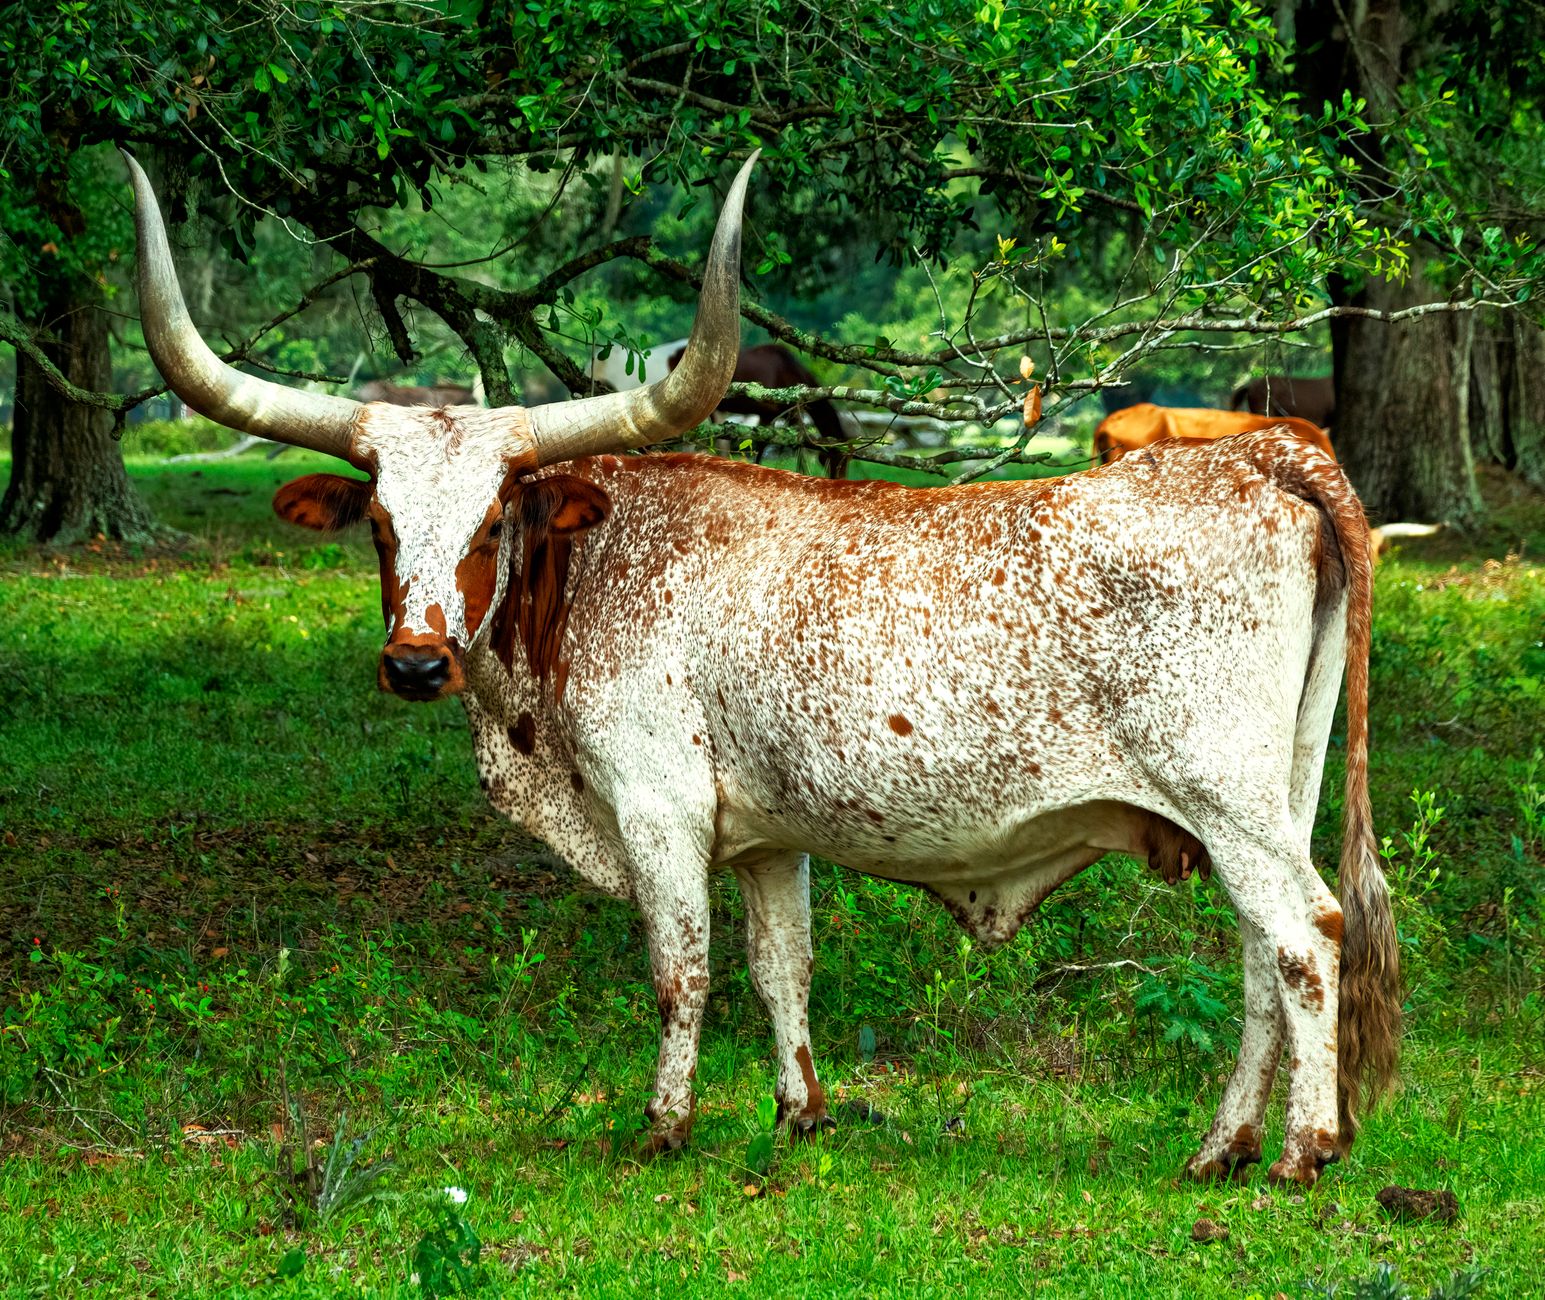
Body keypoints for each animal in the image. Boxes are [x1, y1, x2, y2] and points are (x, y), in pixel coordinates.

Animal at [126, 149, 1400, 1187]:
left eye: (494, 519)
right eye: (382, 525)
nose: (414, 661)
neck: (595, 568)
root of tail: (1266, 457)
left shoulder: (659, 804)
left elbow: (680, 969)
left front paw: (663, 1124)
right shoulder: (769, 833)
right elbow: (781, 966)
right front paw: (799, 1116)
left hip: (1226, 797)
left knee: (1304, 935)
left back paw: (1300, 1151)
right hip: (1274, 788)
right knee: (1262, 955)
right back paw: (1223, 1145)